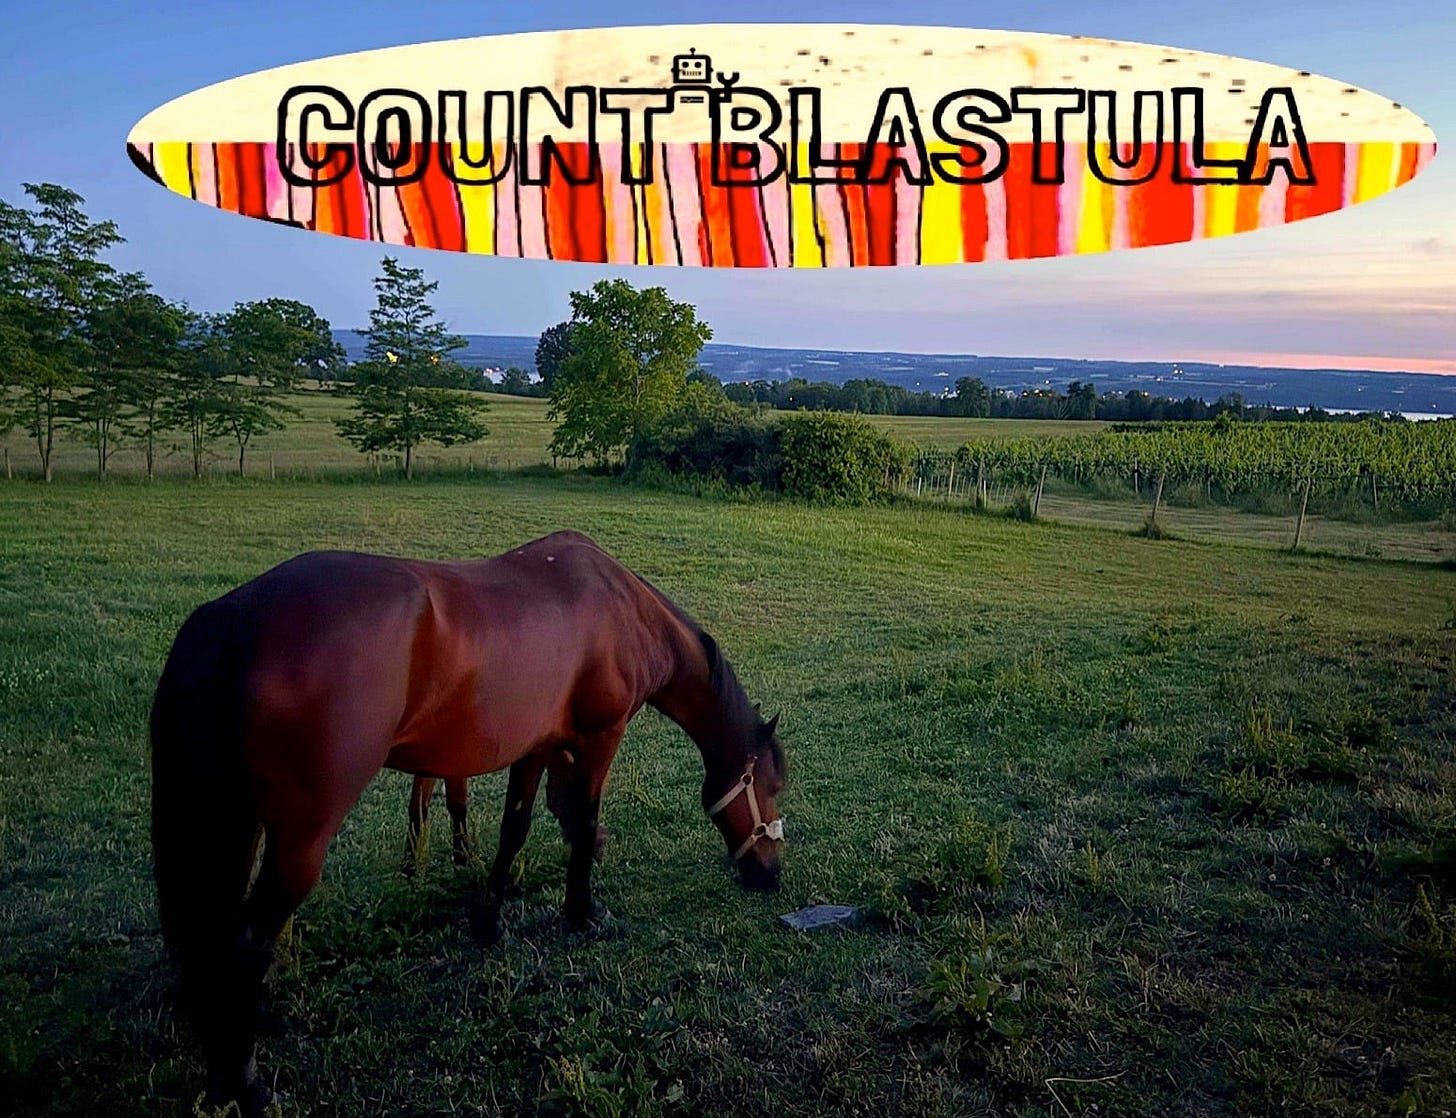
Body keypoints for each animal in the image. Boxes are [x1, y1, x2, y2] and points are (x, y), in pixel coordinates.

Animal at [149, 530, 786, 1116]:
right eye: (774, 786)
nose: (770, 874)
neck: (621, 608)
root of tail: (228, 621)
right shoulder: (599, 737)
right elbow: (583, 825)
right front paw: (582, 913)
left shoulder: (538, 743)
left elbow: (515, 829)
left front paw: (490, 920)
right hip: (297, 841)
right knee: (244, 943)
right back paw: (247, 1082)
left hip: (240, 827)